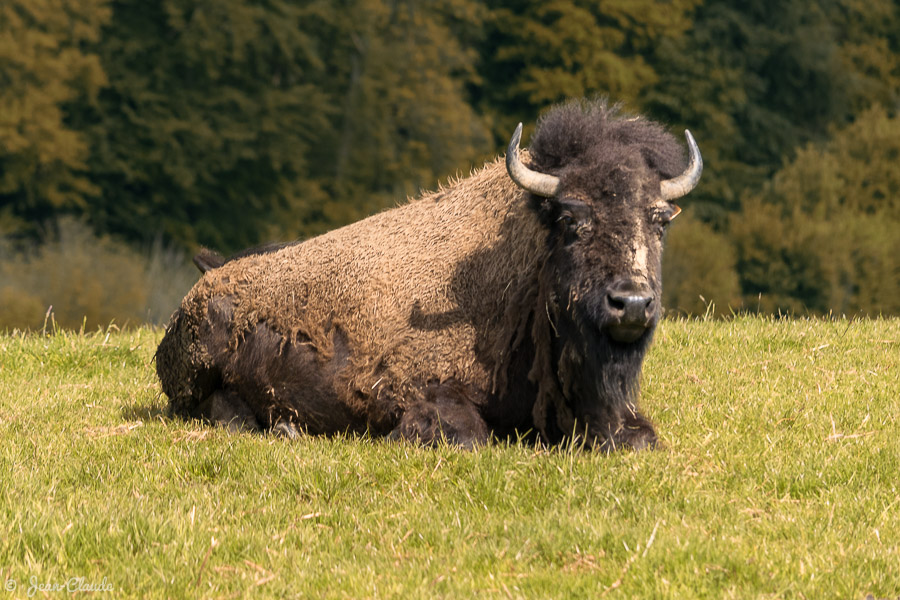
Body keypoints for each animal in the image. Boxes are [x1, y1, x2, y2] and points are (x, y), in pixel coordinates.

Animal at [156, 99, 702, 450]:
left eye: (658, 220)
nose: (631, 304)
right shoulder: (425, 391)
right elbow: (469, 436)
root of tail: (202, 286)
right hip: (198, 375)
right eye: (570, 218)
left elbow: (641, 438)